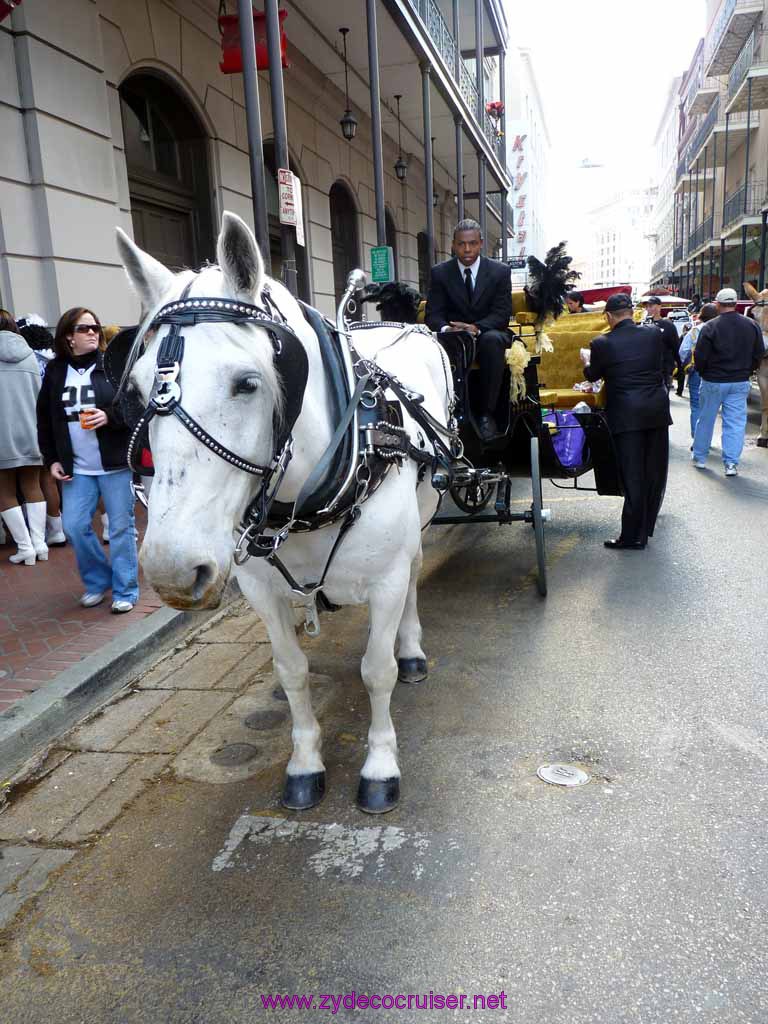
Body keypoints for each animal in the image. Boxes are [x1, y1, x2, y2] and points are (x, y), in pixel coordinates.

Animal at [116, 214, 454, 815]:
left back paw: (412, 647)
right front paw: (305, 762)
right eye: (134, 390)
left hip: (419, 520)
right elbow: (292, 672)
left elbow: (377, 670)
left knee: (415, 573)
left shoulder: (386, 578)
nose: (171, 573)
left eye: (247, 382)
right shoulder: (259, 589)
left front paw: (379, 765)